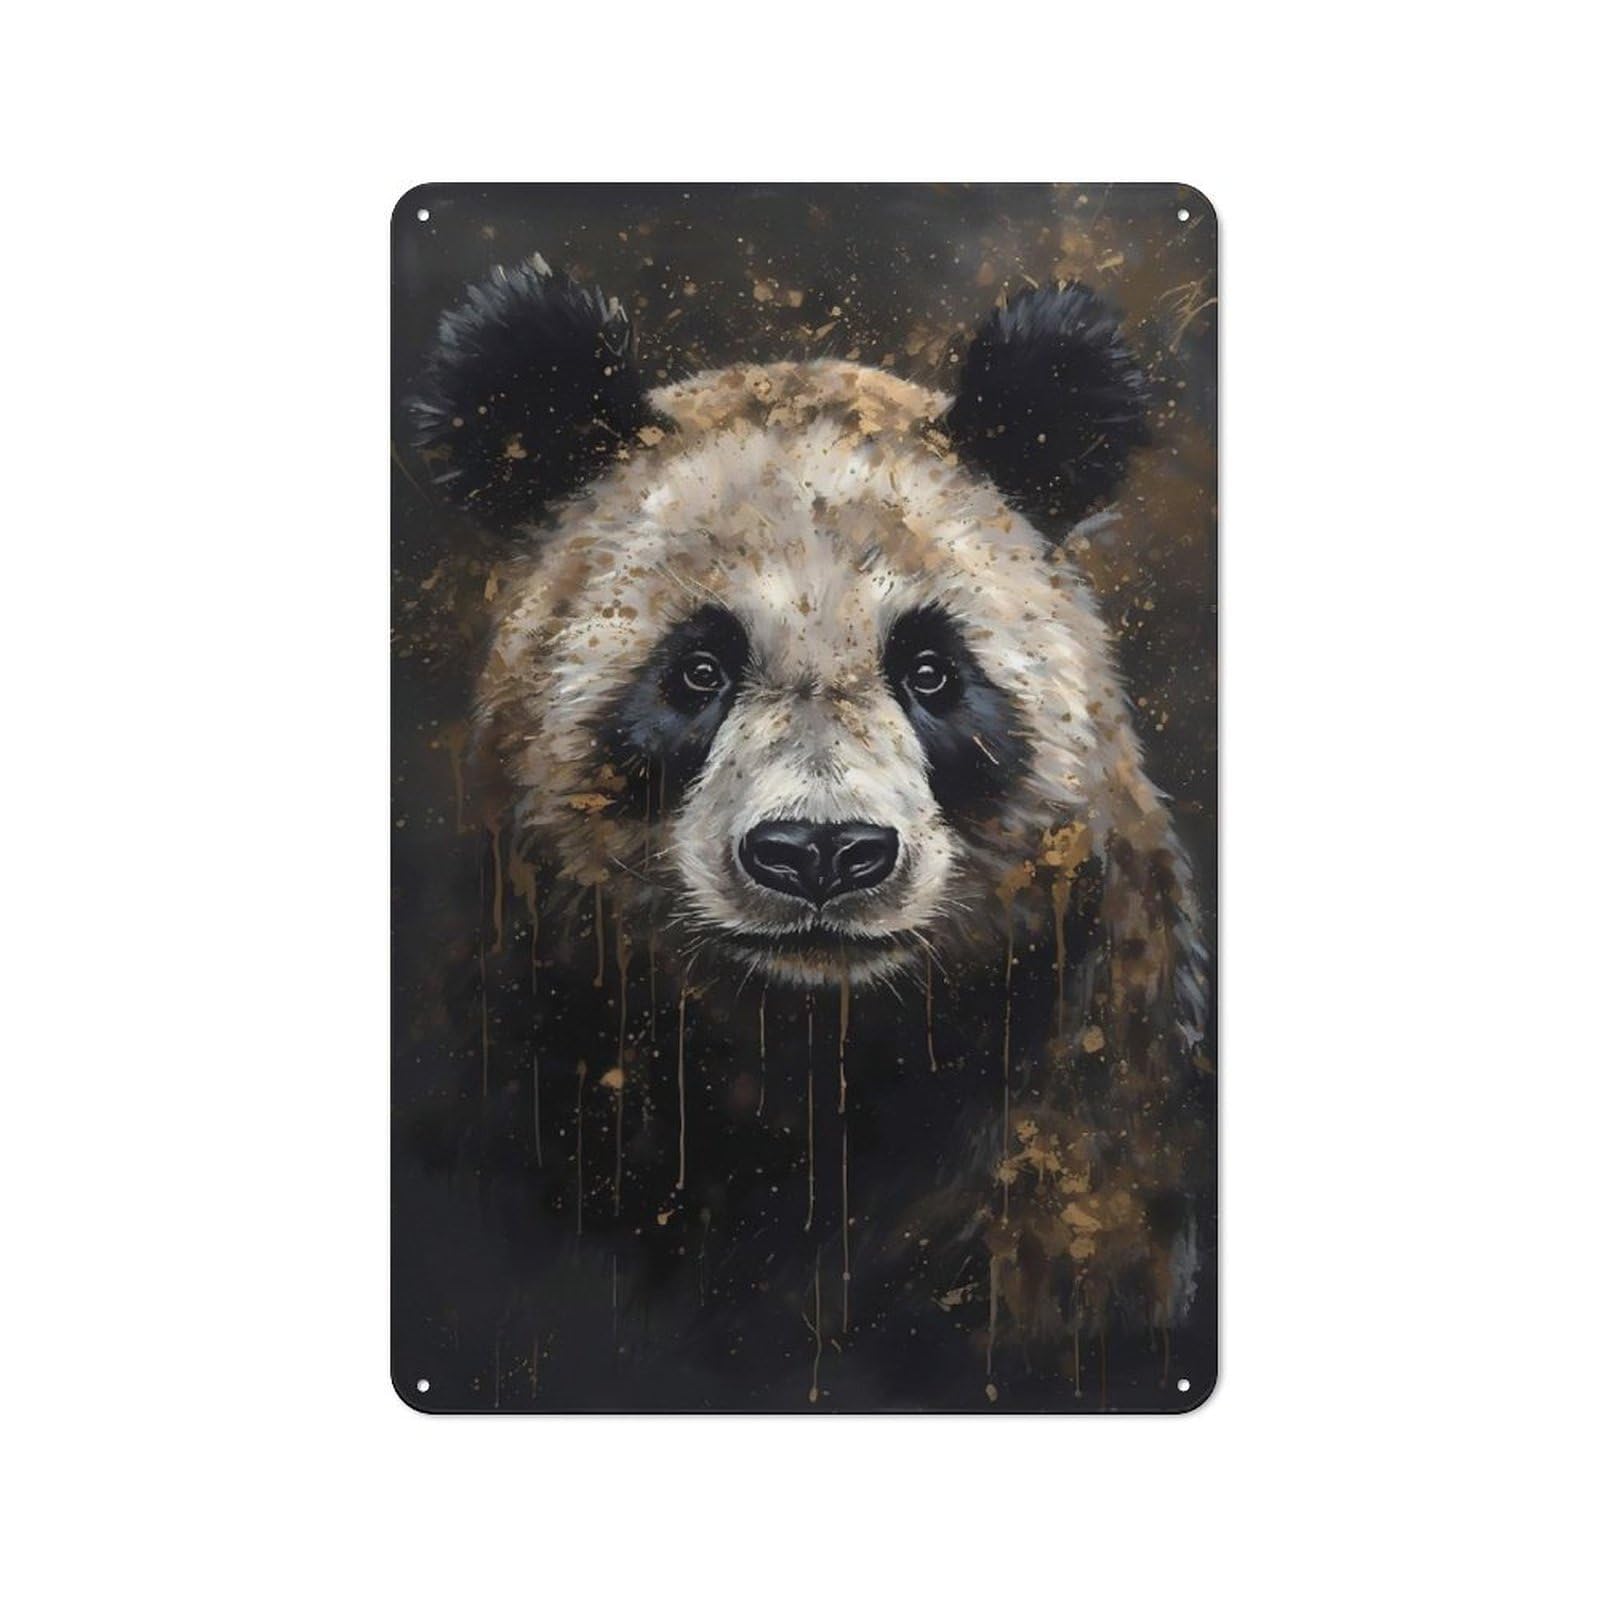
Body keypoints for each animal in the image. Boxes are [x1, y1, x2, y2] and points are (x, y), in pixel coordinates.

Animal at [406, 258, 1213, 1411]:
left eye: (931, 670)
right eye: (697, 669)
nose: (822, 855)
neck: (806, 1044)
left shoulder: (1076, 1061)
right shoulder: (533, 1023)